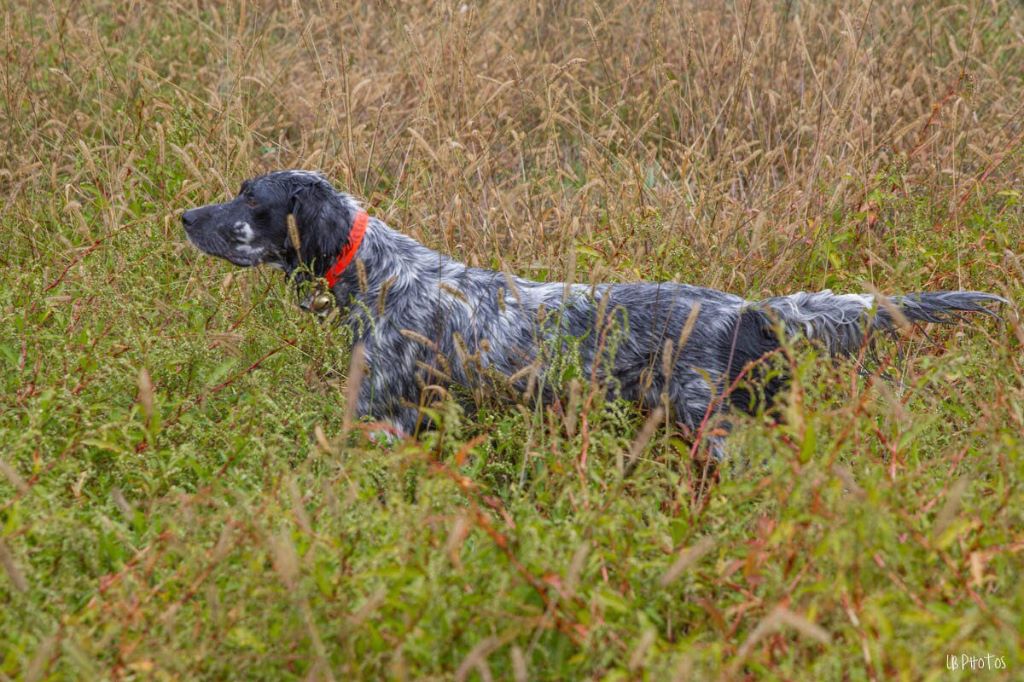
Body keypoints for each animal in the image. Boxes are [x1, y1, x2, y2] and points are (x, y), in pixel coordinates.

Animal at [182, 168, 999, 456]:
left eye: (250, 197)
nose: (185, 215)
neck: (384, 274)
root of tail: (756, 312)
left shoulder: (385, 410)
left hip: (714, 424)